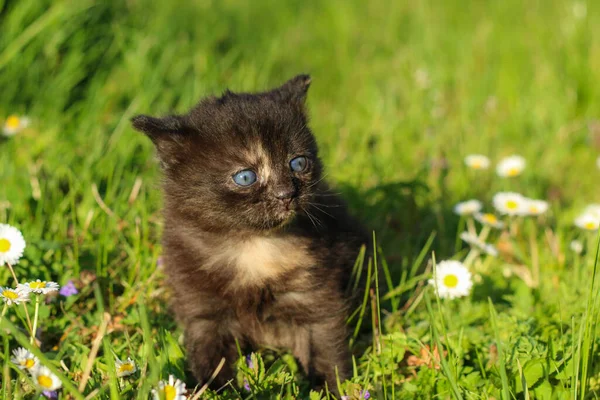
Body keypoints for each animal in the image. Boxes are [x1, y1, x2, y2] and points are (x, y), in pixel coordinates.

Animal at [133, 74, 368, 390]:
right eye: (245, 177)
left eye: (298, 163)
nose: (286, 194)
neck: (253, 244)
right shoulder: (203, 308)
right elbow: (212, 357)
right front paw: (213, 390)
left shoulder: (316, 296)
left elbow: (326, 349)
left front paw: (333, 389)